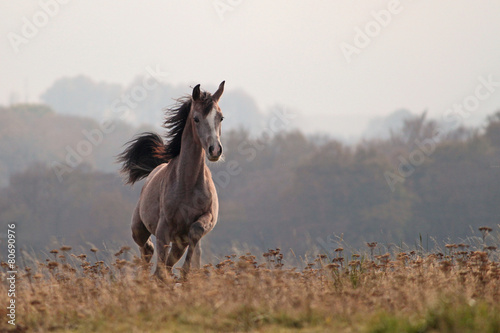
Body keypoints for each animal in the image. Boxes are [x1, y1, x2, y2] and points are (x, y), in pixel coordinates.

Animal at [118, 81, 224, 278]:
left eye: (220, 117)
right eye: (196, 119)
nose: (215, 150)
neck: (188, 184)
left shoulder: (206, 218)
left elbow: (195, 232)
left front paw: (186, 273)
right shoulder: (163, 229)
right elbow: (160, 262)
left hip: (179, 242)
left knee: (167, 258)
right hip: (138, 228)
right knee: (147, 250)